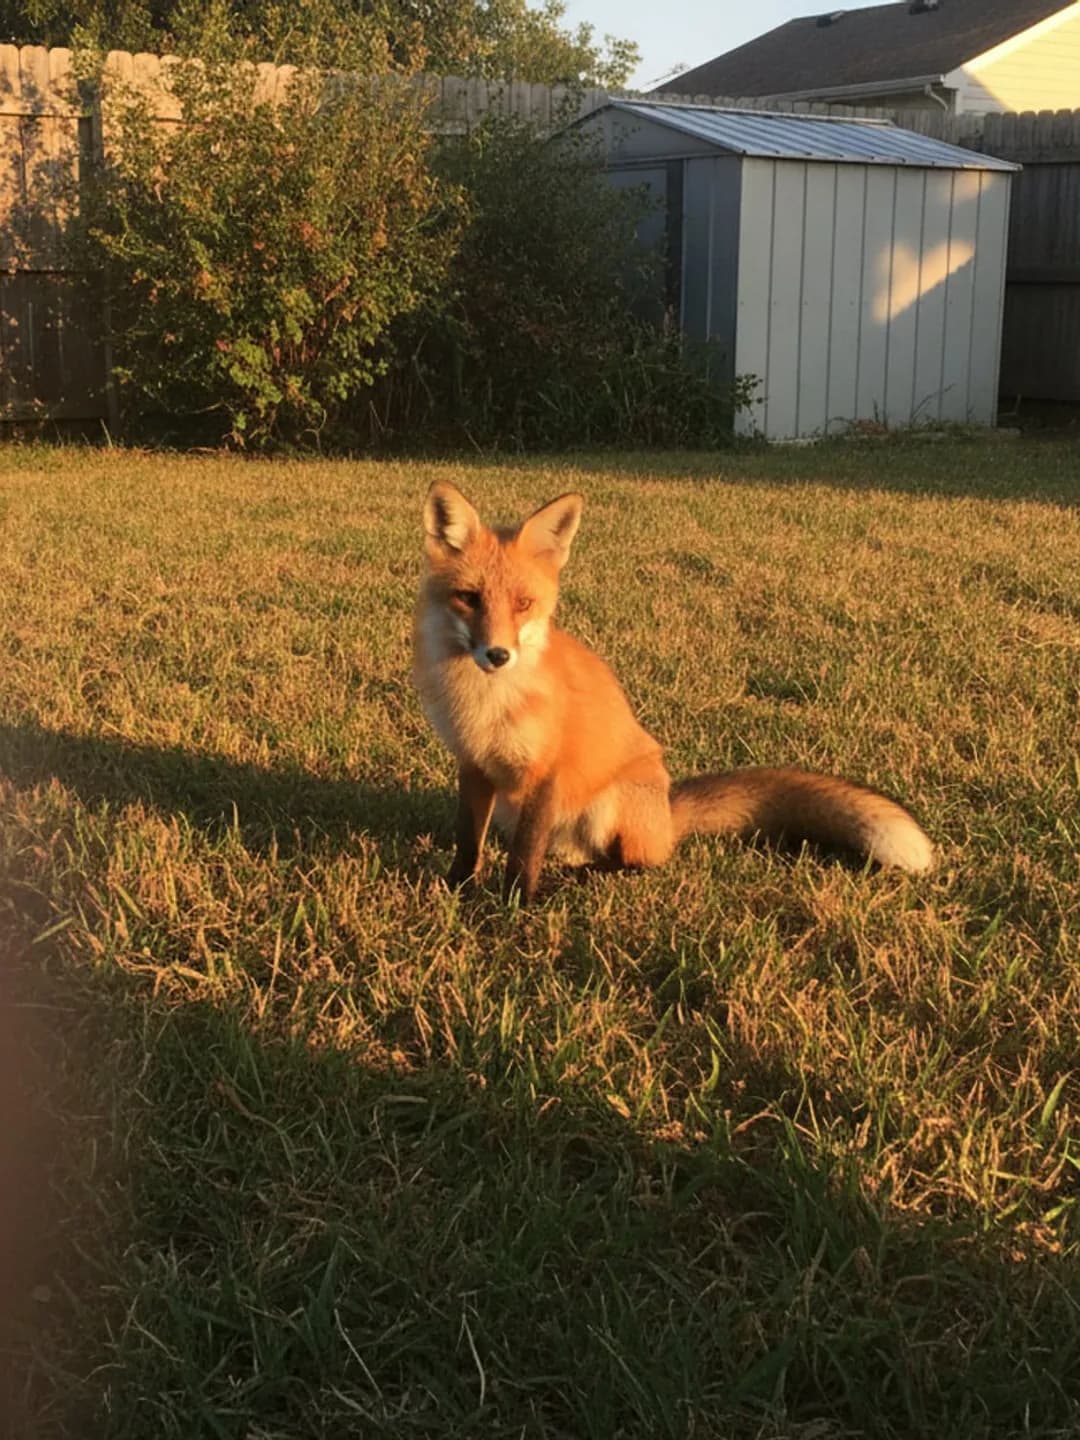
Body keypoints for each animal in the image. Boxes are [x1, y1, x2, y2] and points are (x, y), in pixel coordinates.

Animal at [412, 481, 934, 903]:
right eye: (469, 598)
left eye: (523, 604)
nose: (497, 654)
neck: (486, 704)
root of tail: (667, 812)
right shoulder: (474, 765)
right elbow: (468, 840)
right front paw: (457, 888)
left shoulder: (546, 773)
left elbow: (524, 855)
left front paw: (515, 906)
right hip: (513, 806)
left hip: (608, 804)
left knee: (636, 863)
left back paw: (583, 880)